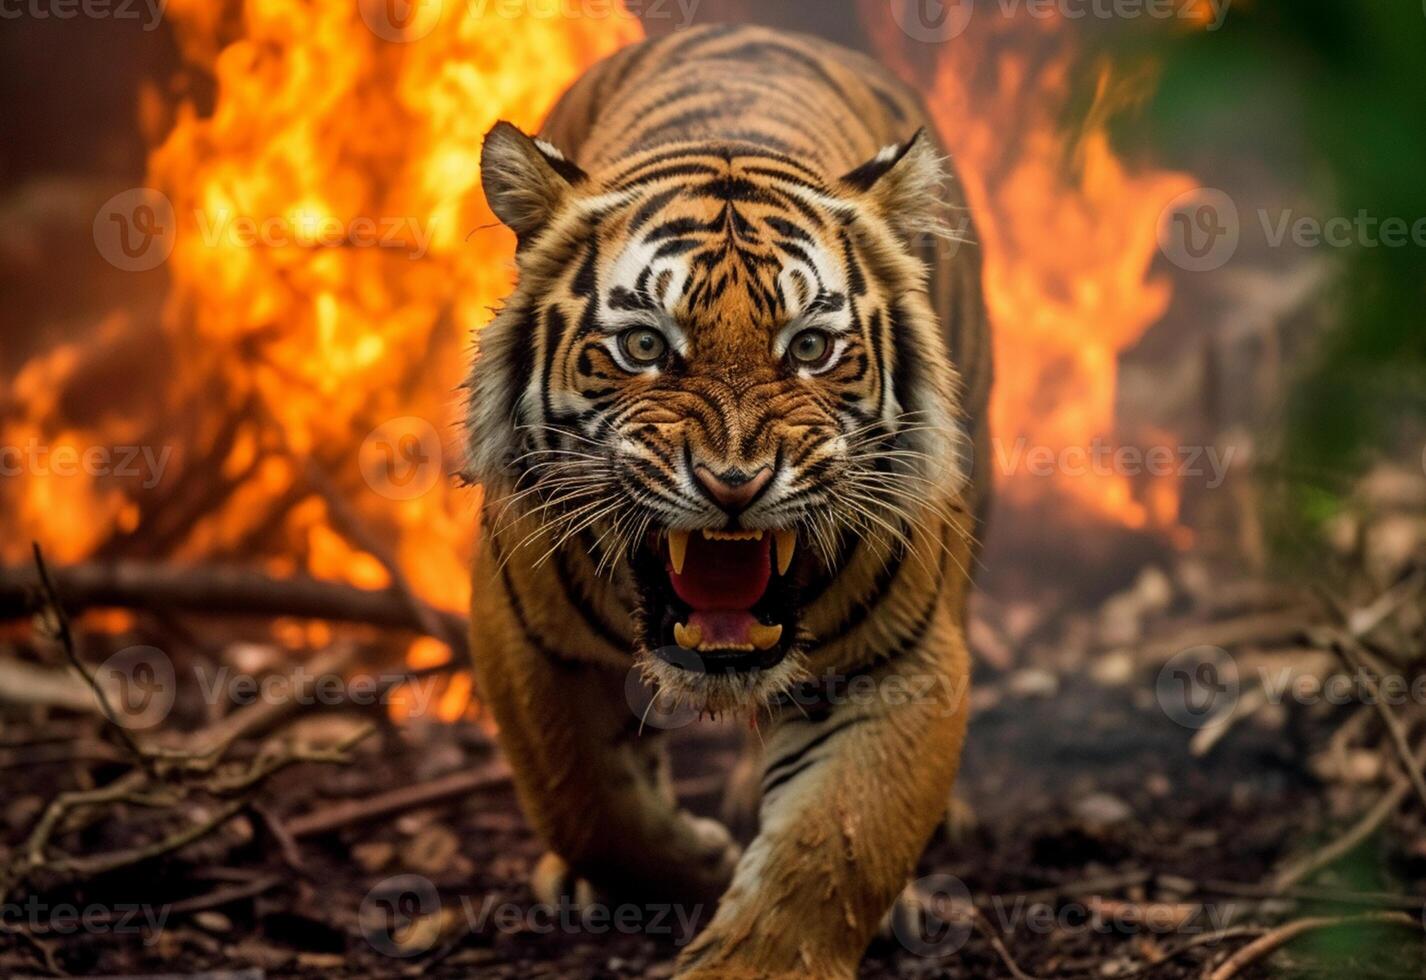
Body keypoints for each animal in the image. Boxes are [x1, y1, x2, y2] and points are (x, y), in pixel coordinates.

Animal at [467, 21, 992, 980]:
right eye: (643, 346)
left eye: (812, 348)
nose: (735, 482)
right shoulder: (525, 637)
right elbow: (584, 797)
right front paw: (683, 863)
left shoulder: (897, 662)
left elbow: (836, 842)